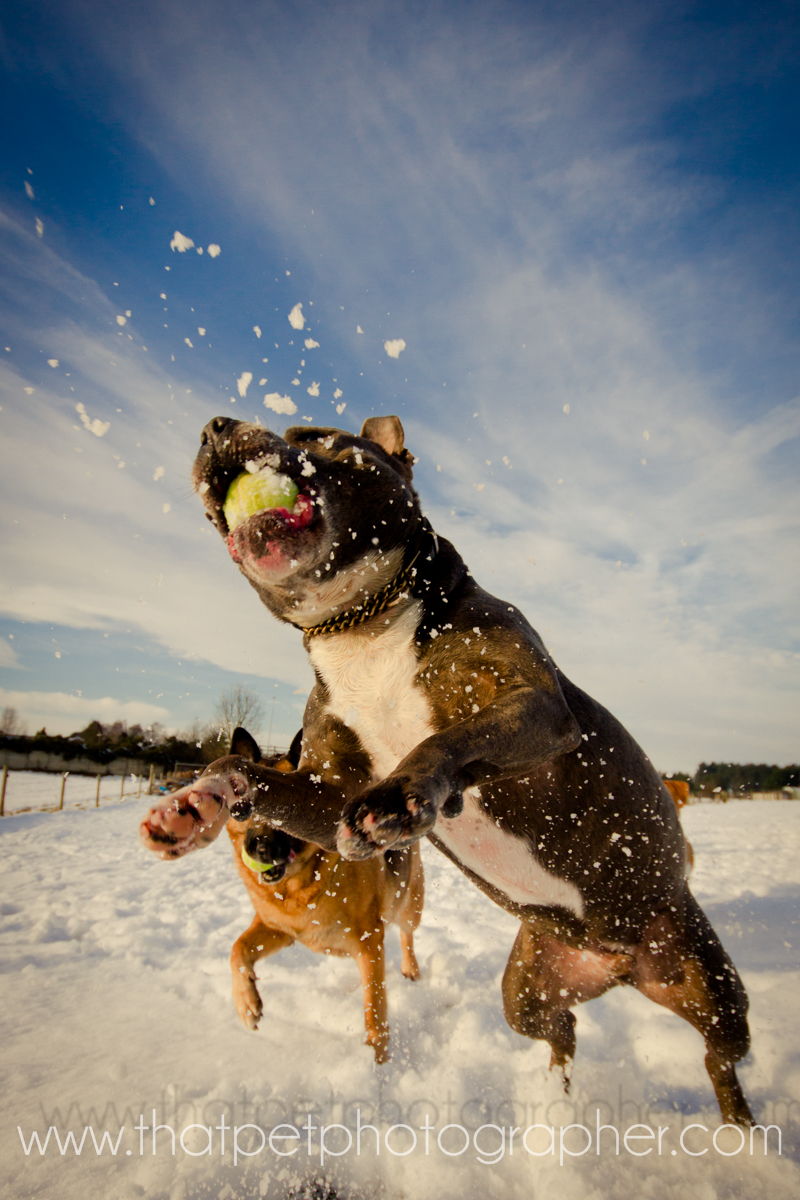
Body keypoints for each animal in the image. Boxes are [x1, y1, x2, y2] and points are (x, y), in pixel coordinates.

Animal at [145, 727, 423, 1063]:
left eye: (286, 813)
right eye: (242, 809)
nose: (262, 849)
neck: (299, 886)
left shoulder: (369, 943)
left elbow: (375, 1012)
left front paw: (377, 1065)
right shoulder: (277, 929)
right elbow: (237, 949)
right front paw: (246, 1003)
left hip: (410, 904)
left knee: (407, 934)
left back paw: (411, 968)